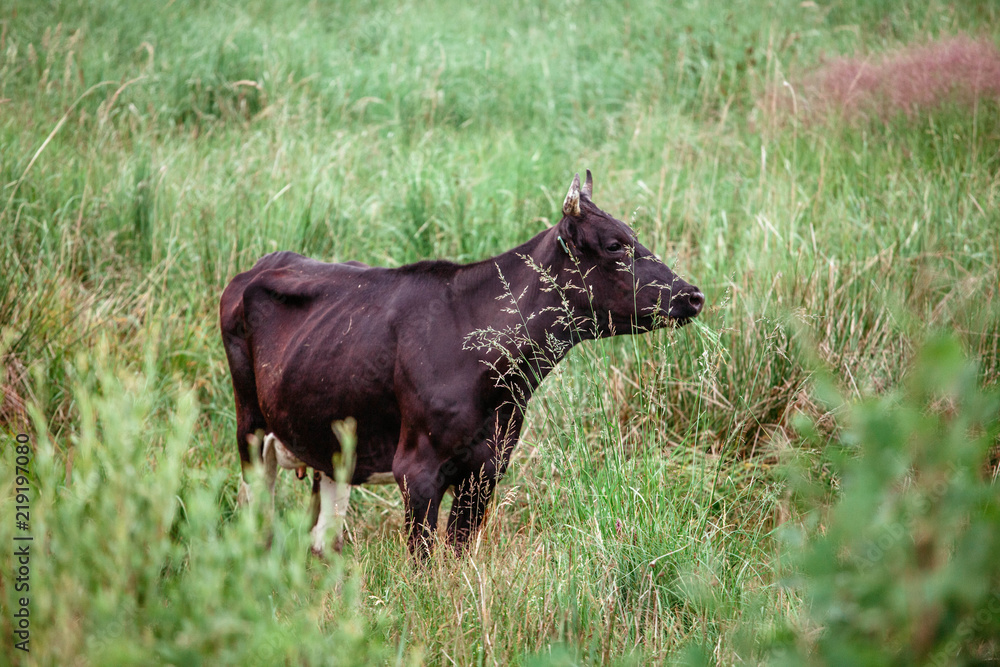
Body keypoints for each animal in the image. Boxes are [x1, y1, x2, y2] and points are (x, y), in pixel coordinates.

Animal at [219, 170, 704, 558]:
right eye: (615, 244)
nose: (693, 294)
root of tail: (263, 263)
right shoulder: (417, 470)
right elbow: (423, 559)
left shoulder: (486, 468)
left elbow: (457, 553)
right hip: (250, 428)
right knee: (257, 512)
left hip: (329, 435)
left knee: (324, 534)